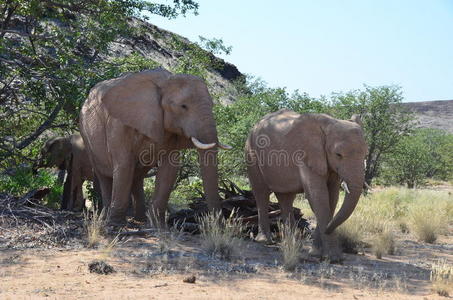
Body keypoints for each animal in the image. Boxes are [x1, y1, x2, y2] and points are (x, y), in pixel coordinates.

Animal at [78, 68, 231, 226]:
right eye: (183, 106)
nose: (220, 227)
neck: (164, 82)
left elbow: (169, 169)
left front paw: (158, 226)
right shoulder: (118, 123)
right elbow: (124, 164)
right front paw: (116, 224)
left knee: (137, 176)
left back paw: (140, 220)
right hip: (86, 134)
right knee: (104, 176)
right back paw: (106, 219)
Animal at [244, 109, 368, 262]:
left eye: (365, 154)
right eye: (338, 155)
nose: (328, 228)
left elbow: (332, 198)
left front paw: (316, 253)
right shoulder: (305, 154)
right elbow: (318, 197)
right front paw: (333, 258)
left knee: (286, 198)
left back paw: (292, 243)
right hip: (251, 152)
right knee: (261, 193)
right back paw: (264, 241)